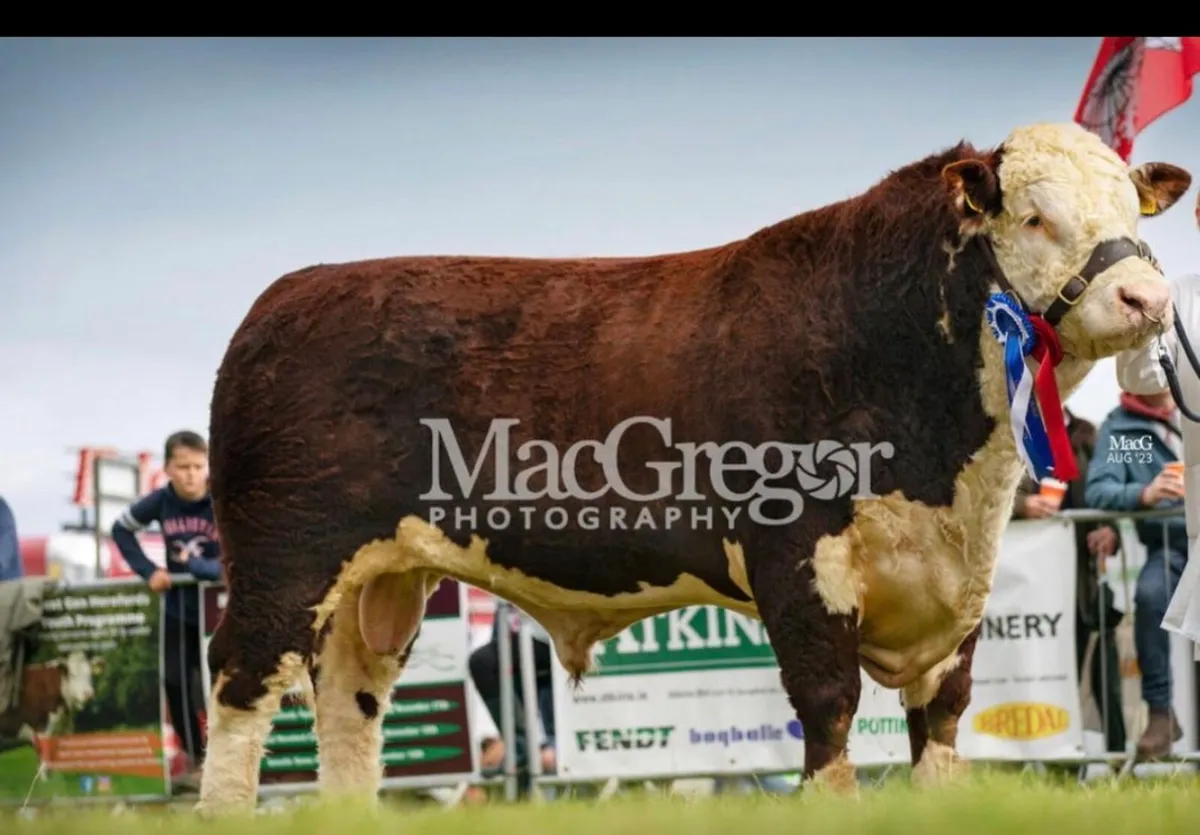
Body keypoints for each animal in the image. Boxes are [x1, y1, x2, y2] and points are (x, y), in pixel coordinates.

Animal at [195, 122, 1191, 816]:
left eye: (1130, 212)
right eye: (1034, 214)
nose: (1146, 295)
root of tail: (287, 296)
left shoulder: (957, 583)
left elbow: (943, 720)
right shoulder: (798, 557)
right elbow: (827, 708)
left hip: (380, 582)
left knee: (349, 705)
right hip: (284, 556)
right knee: (242, 688)